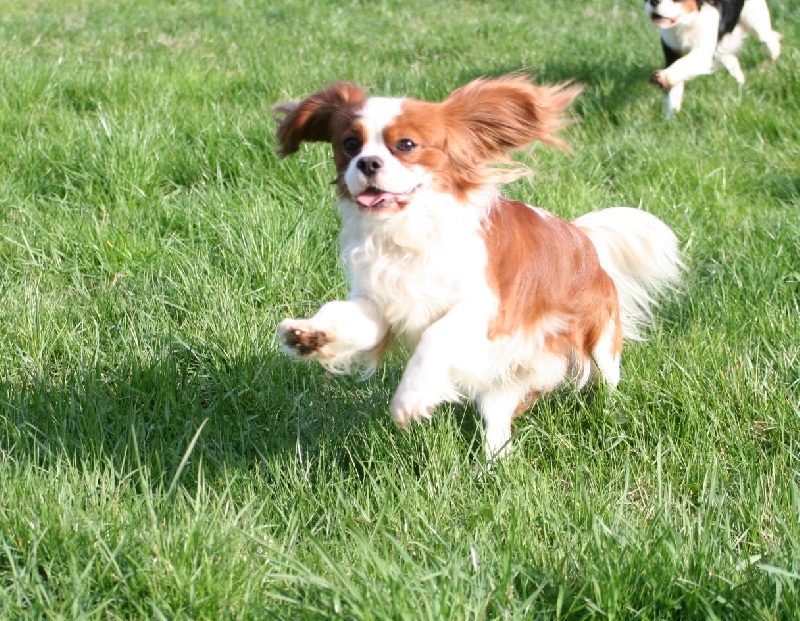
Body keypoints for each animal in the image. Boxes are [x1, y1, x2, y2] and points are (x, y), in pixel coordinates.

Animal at [274, 75, 680, 458]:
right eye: (349, 145)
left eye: (405, 145)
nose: (367, 163)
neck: (410, 230)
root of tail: (582, 237)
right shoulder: (381, 304)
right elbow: (348, 318)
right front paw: (309, 335)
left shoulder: (489, 308)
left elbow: (436, 335)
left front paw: (411, 397)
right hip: (505, 380)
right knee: (498, 418)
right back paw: (493, 461)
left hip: (599, 339)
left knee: (606, 375)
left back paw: (608, 410)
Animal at [644, 0, 780, 115]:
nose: (654, 1)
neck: (687, 21)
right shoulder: (671, 47)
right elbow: (675, 84)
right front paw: (671, 115)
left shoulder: (703, 49)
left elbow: (682, 64)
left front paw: (662, 77)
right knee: (732, 59)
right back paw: (740, 82)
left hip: (755, 20)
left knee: (770, 40)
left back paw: (768, 65)